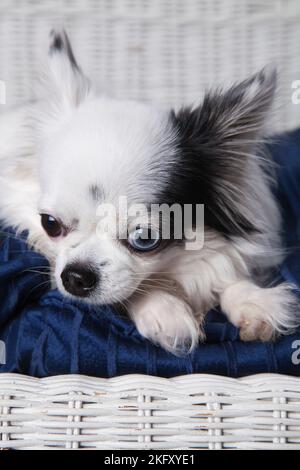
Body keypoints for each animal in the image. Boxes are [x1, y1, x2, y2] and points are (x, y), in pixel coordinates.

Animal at [0, 31, 298, 352]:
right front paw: (164, 309)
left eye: (144, 239)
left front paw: (252, 300)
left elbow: (226, 270)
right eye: (50, 224)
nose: (76, 275)